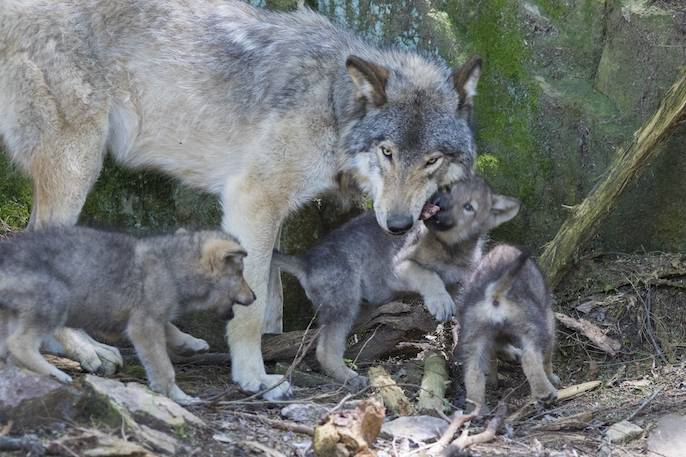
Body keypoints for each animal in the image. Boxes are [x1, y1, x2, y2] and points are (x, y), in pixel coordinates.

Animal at [0, 227, 255, 402]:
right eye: (241, 273)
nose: (254, 297)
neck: (172, 267)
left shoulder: (147, 319)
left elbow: (172, 329)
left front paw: (191, 344)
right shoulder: (144, 325)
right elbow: (164, 367)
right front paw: (178, 396)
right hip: (56, 301)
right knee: (20, 344)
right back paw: (55, 373)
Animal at [272, 176, 520, 386]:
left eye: (469, 206)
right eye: (447, 190)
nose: (439, 205)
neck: (451, 249)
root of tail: (306, 260)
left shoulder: (461, 286)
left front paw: (505, 348)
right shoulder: (399, 268)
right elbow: (428, 275)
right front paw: (439, 301)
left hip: (356, 307)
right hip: (343, 302)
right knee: (325, 349)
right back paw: (348, 376)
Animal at [456, 246, 560, 414]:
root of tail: (494, 293)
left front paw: (493, 380)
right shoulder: (549, 319)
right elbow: (546, 360)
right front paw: (552, 377)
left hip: (473, 338)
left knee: (473, 373)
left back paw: (476, 410)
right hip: (533, 328)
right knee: (529, 358)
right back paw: (545, 393)